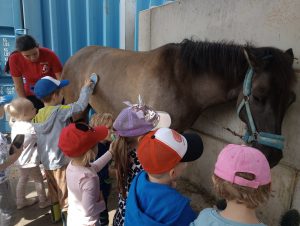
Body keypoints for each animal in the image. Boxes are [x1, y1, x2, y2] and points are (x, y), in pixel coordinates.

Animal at [61, 39, 296, 168]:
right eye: (257, 96)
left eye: (291, 100)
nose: (273, 156)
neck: (182, 78)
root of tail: (73, 57)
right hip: (78, 112)